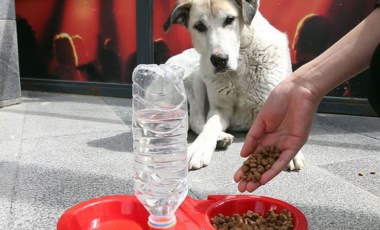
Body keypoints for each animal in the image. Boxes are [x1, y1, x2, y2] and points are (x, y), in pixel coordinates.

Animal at [165, 0, 304, 169]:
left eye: (229, 19)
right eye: (199, 26)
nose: (219, 60)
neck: (239, 69)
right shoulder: (220, 109)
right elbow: (209, 126)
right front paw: (199, 148)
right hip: (198, 74)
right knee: (196, 120)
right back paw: (220, 138)